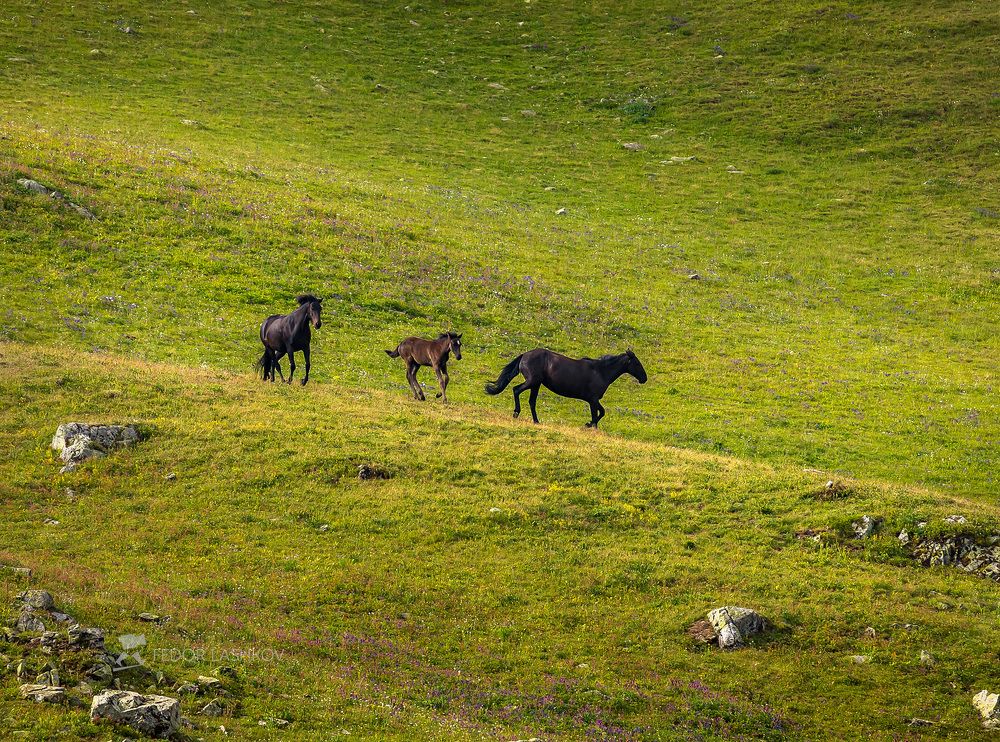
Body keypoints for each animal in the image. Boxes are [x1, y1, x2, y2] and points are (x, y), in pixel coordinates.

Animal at [485, 348, 647, 427]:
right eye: (637, 363)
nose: (644, 379)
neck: (601, 371)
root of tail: (524, 355)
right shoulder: (593, 400)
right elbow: (597, 415)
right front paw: (590, 425)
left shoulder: (593, 400)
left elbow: (601, 413)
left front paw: (588, 424)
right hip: (532, 382)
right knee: (516, 390)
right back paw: (516, 413)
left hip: (536, 384)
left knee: (531, 402)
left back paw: (536, 421)